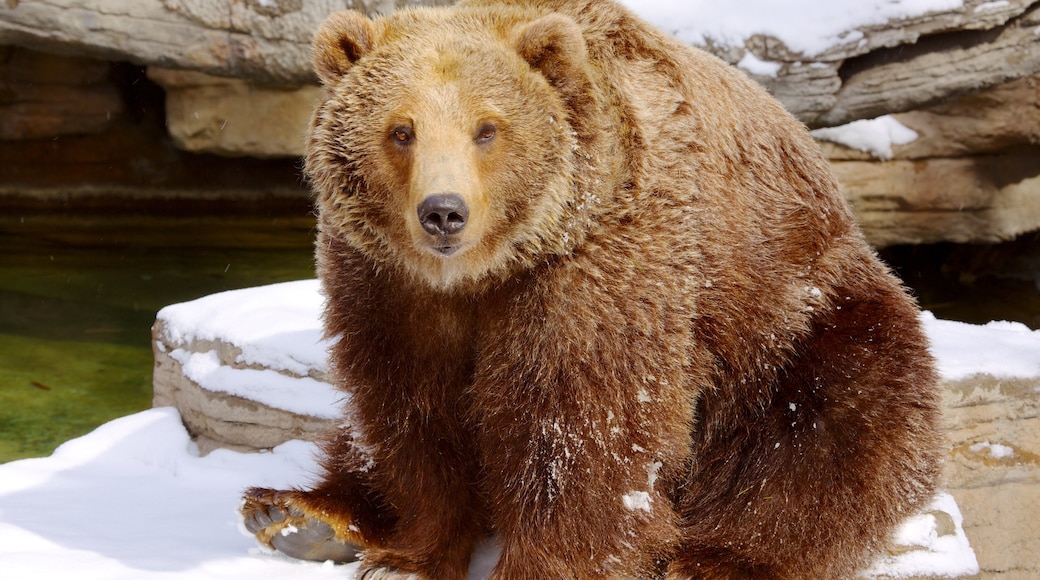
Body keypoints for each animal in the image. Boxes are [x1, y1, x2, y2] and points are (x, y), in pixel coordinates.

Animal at [239, 1, 948, 577]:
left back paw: (716, 559)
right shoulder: (386, 283)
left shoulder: (600, 266)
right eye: (401, 129)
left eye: (487, 128)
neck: (485, 271)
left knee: (829, 428)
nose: (443, 212)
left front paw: (542, 564)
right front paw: (410, 548)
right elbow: (410, 406)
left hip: (798, 316)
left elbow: (584, 428)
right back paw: (296, 514)